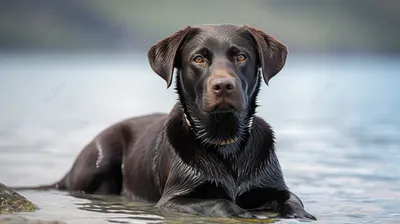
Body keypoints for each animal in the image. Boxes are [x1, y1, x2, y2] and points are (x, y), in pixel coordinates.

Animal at [18, 24, 316, 220]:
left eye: (241, 56)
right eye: (199, 58)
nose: (223, 86)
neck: (224, 140)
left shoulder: (274, 187)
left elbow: (293, 199)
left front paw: (300, 214)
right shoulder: (173, 199)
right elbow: (222, 203)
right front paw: (244, 213)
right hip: (102, 154)